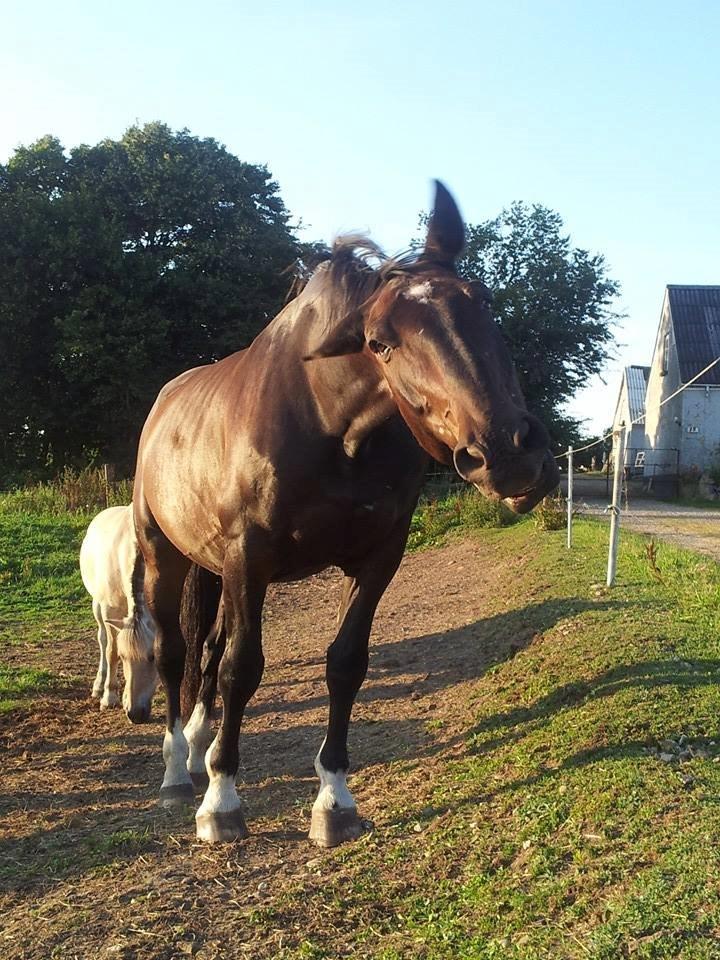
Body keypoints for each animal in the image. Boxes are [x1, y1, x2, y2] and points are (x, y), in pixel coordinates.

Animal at [79, 510, 158, 720]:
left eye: (152, 657)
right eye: (124, 657)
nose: (136, 714)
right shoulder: (110, 610)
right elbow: (111, 652)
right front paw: (110, 696)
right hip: (98, 607)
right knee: (102, 640)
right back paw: (99, 685)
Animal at [132, 184, 560, 844]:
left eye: (483, 304)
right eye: (380, 342)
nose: (511, 453)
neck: (329, 426)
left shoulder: (377, 558)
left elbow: (345, 664)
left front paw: (333, 799)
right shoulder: (249, 558)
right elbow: (241, 669)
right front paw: (222, 802)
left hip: (214, 567)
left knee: (208, 644)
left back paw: (201, 744)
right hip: (164, 558)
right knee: (178, 652)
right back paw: (180, 770)